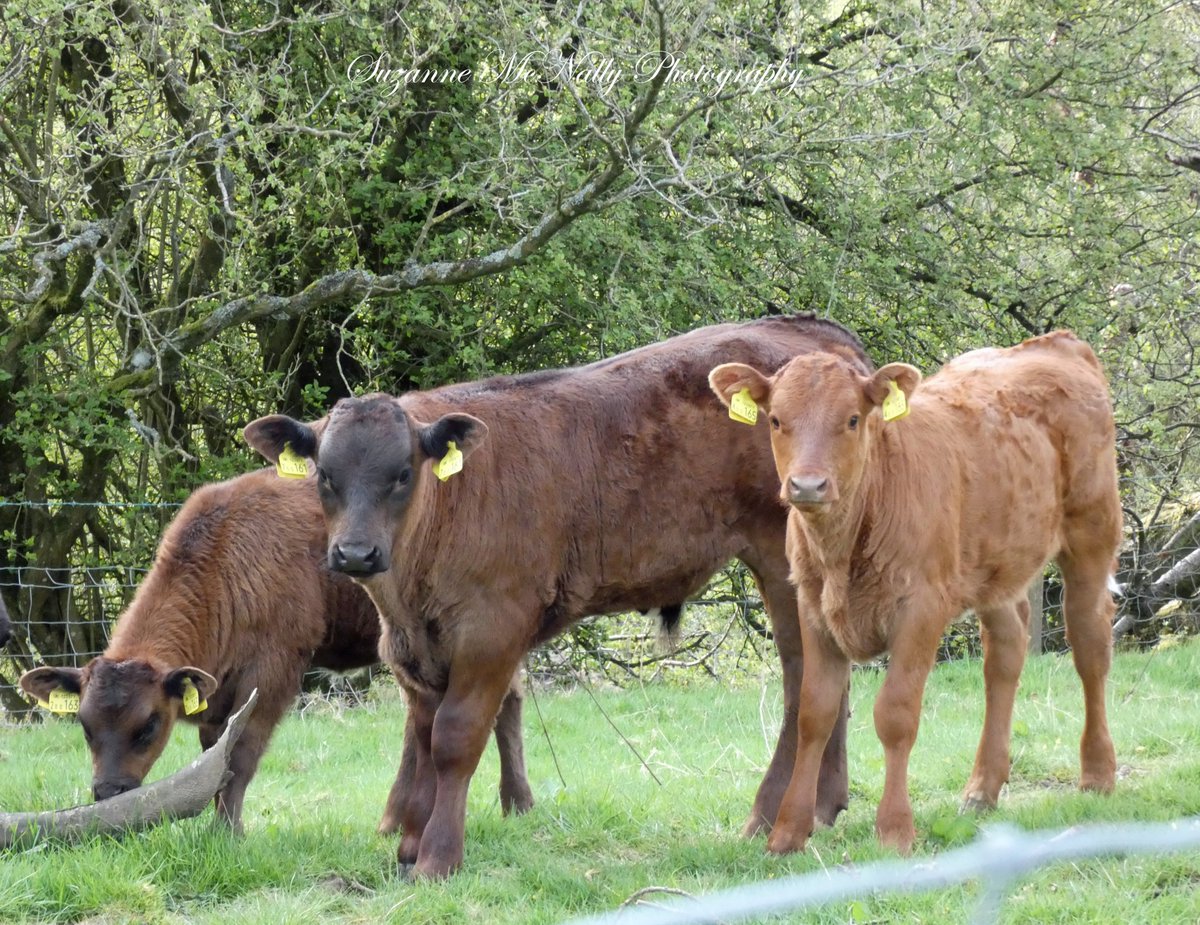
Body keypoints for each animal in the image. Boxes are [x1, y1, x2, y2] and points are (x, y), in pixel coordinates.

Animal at [18, 467, 534, 832]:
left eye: (148, 725)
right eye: (85, 725)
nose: (109, 791)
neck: (227, 554)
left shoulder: (273, 670)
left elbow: (241, 754)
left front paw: (226, 834)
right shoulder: (218, 691)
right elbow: (215, 754)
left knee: (497, 703)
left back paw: (515, 805)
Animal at [243, 314, 867, 878]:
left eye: (402, 474)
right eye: (324, 475)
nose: (355, 553)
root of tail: (811, 334)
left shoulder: (493, 630)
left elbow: (453, 738)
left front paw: (437, 858)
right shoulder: (411, 648)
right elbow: (420, 737)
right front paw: (408, 847)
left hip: (782, 561)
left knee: (802, 682)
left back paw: (769, 818)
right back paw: (824, 807)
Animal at [709, 329, 1121, 856]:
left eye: (853, 419)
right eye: (777, 419)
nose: (808, 485)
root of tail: (1054, 344)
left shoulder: (921, 608)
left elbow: (896, 713)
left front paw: (895, 830)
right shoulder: (813, 606)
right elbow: (814, 714)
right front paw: (787, 833)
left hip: (1091, 530)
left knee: (1090, 642)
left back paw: (1098, 774)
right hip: (995, 563)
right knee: (1005, 654)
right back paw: (982, 789)